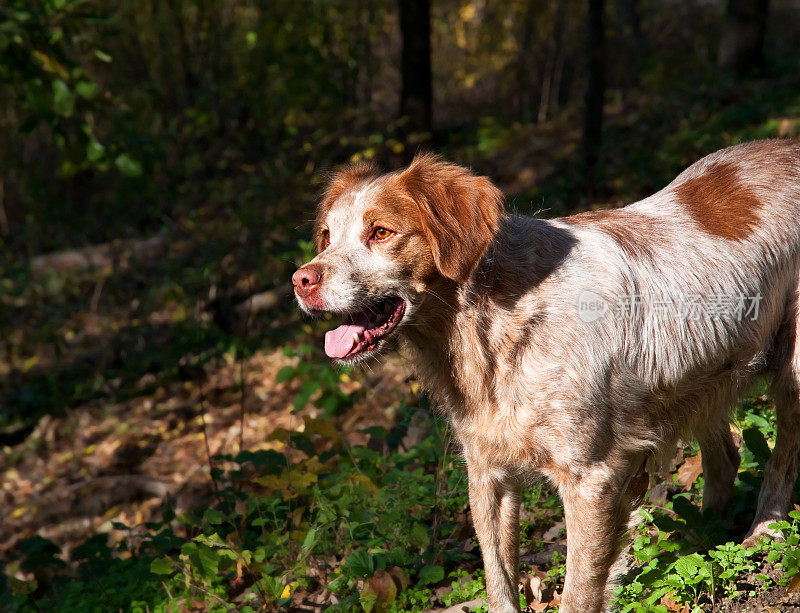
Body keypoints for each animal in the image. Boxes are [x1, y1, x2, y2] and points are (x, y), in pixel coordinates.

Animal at [292, 140, 800, 612]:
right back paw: (702, 537)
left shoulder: (591, 478)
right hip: (701, 381)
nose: (301, 280)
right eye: (327, 237)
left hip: (792, 368)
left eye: (381, 232)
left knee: (782, 458)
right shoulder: (488, 473)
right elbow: (499, 584)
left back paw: (764, 530)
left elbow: (578, 590)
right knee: (726, 458)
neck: (495, 325)